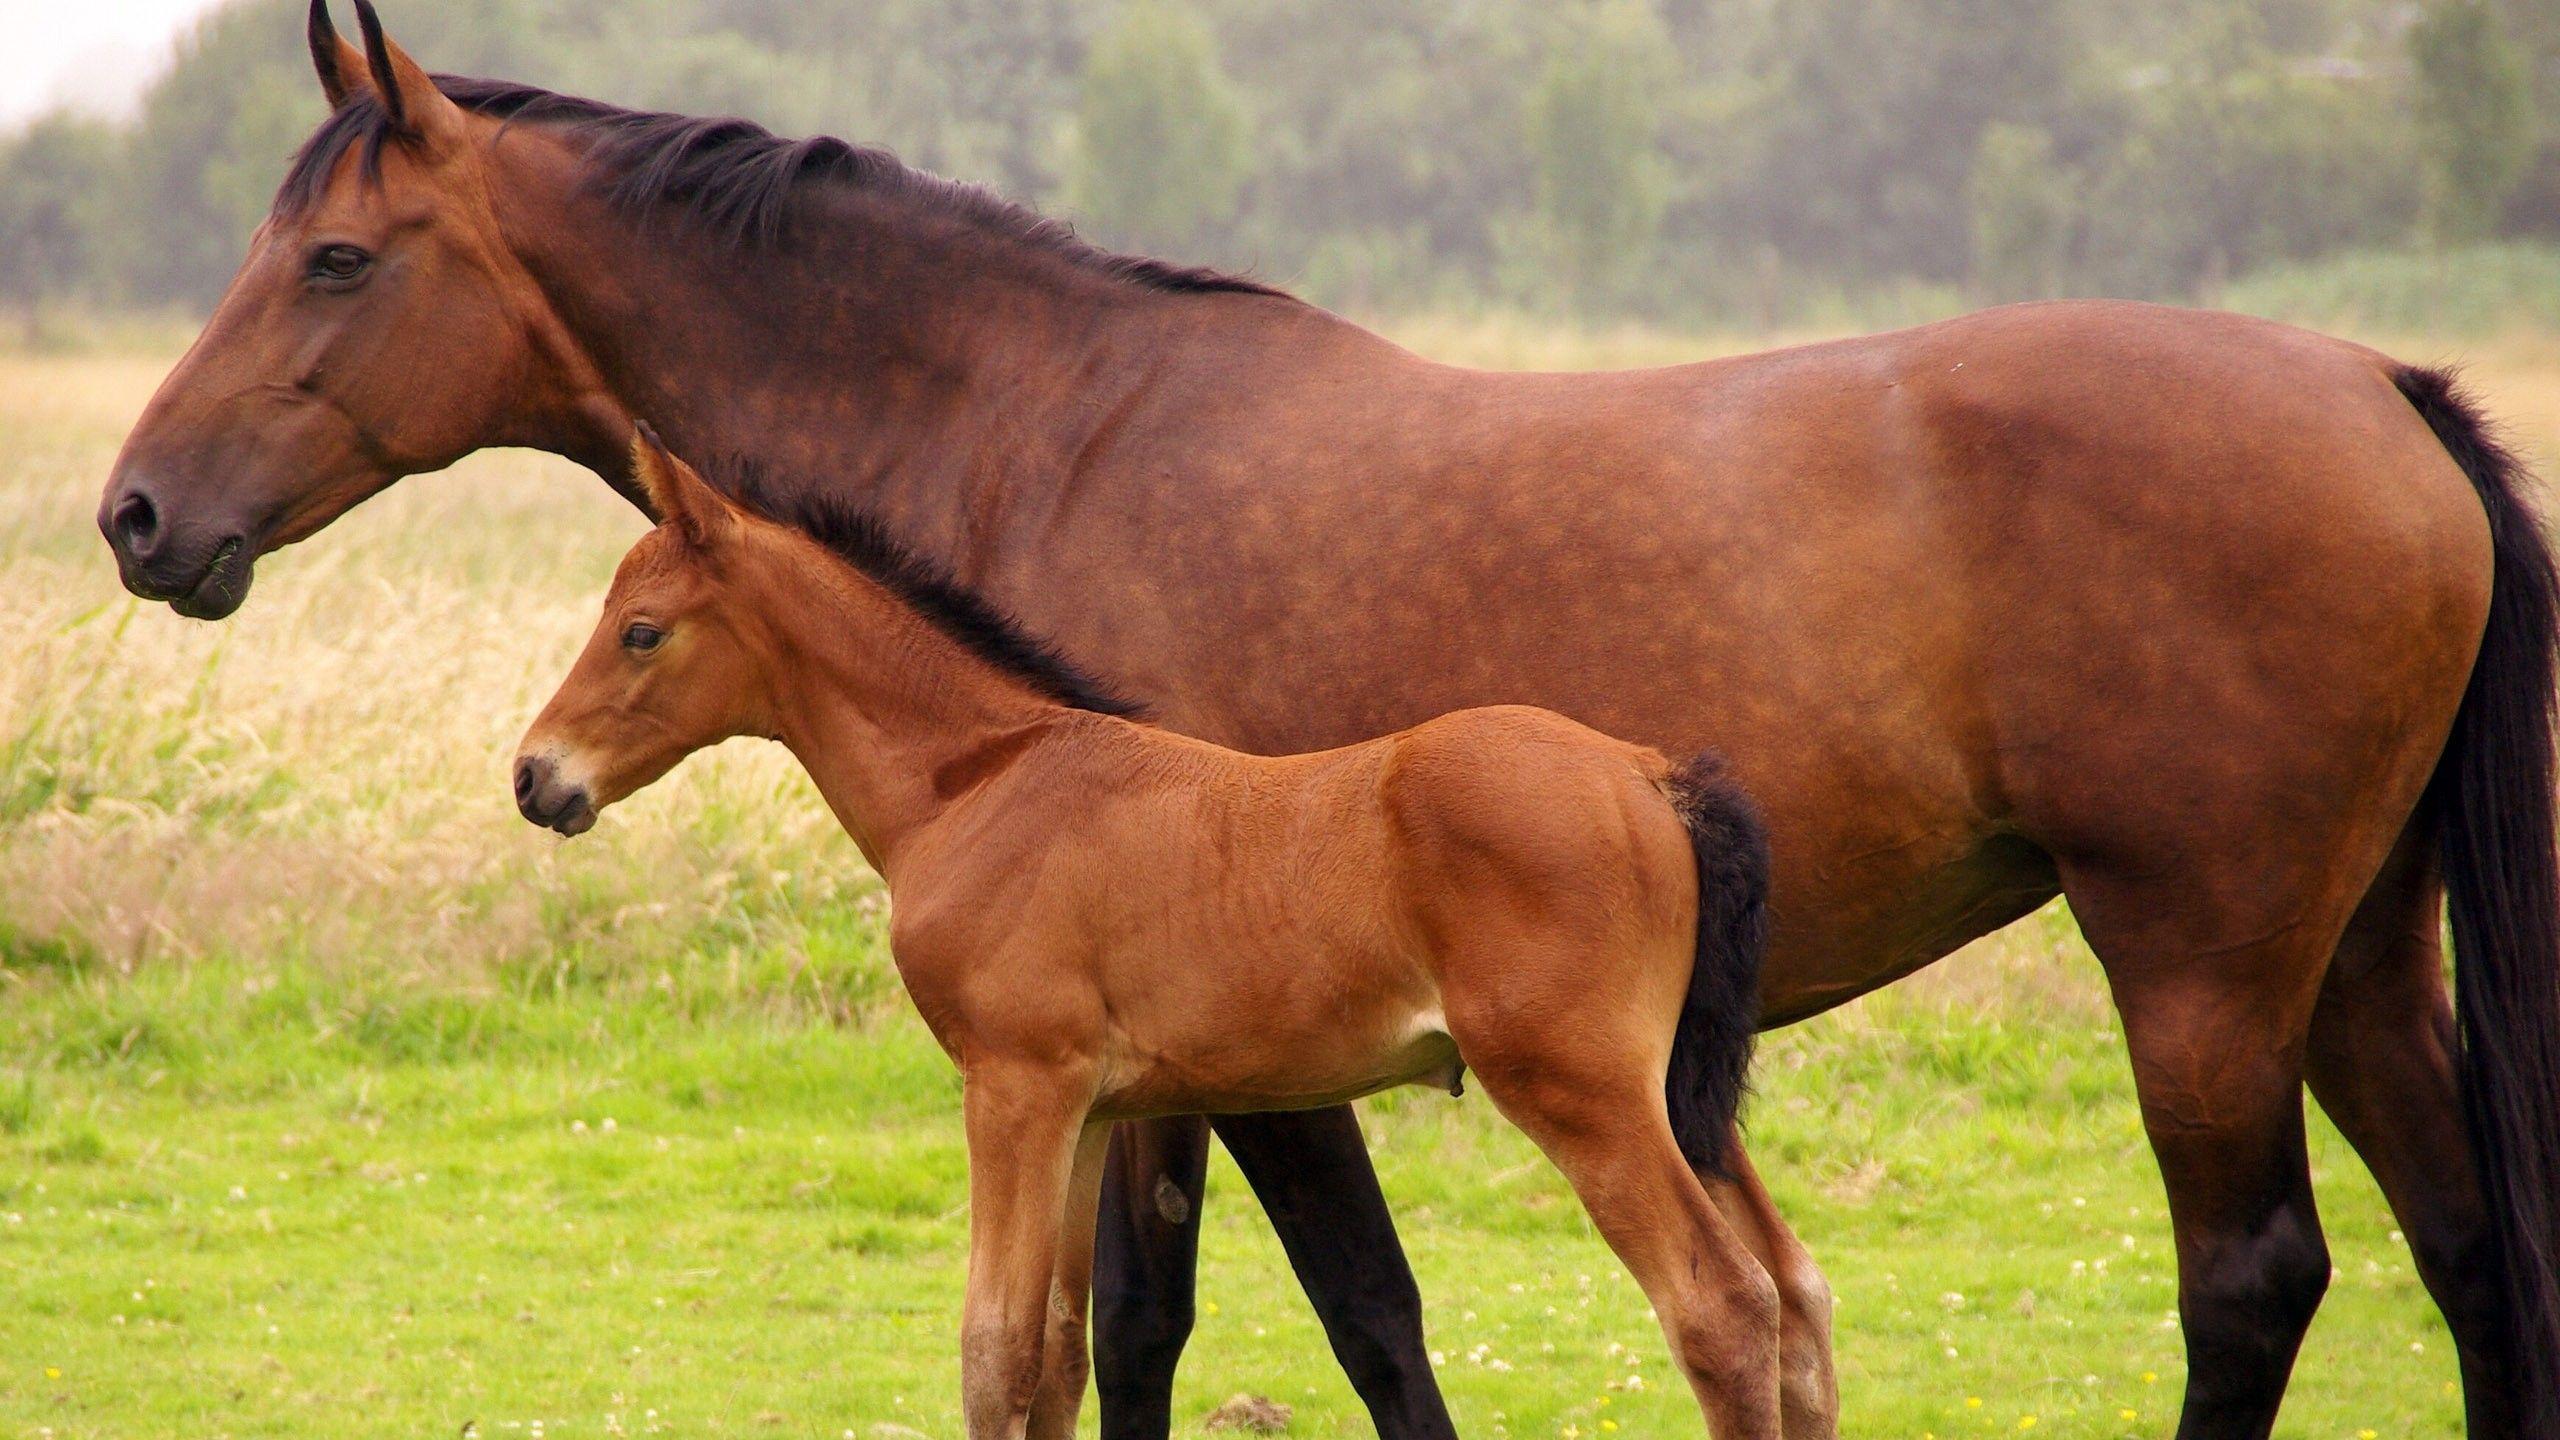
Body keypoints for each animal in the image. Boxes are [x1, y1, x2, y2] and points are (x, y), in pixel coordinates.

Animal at [514, 428, 1795, 1437]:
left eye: (640, 632)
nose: (535, 777)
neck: (980, 781)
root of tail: (1651, 776)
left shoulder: (1013, 1087)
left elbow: (992, 1353)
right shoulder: (1086, 1112)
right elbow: (1054, 1358)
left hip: (1580, 1089)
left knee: (1722, 1307)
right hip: (1671, 1094)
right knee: (1792, 1299)